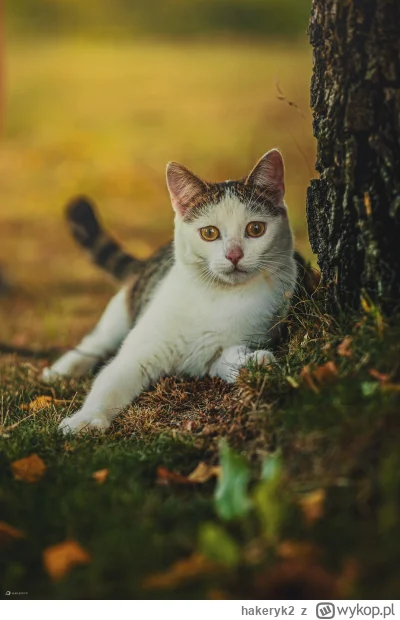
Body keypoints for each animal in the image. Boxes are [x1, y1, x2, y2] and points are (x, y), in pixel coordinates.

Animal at [43, 149, 296, 436]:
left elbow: (228, 357)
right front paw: (86, 418)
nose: (234, 255)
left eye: (255, 229)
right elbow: (109, 382)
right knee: (95, 342)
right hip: (121, 313)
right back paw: (61, 370)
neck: (219, 296)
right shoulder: (139, 351)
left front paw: (254, 362)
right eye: (210, 233)